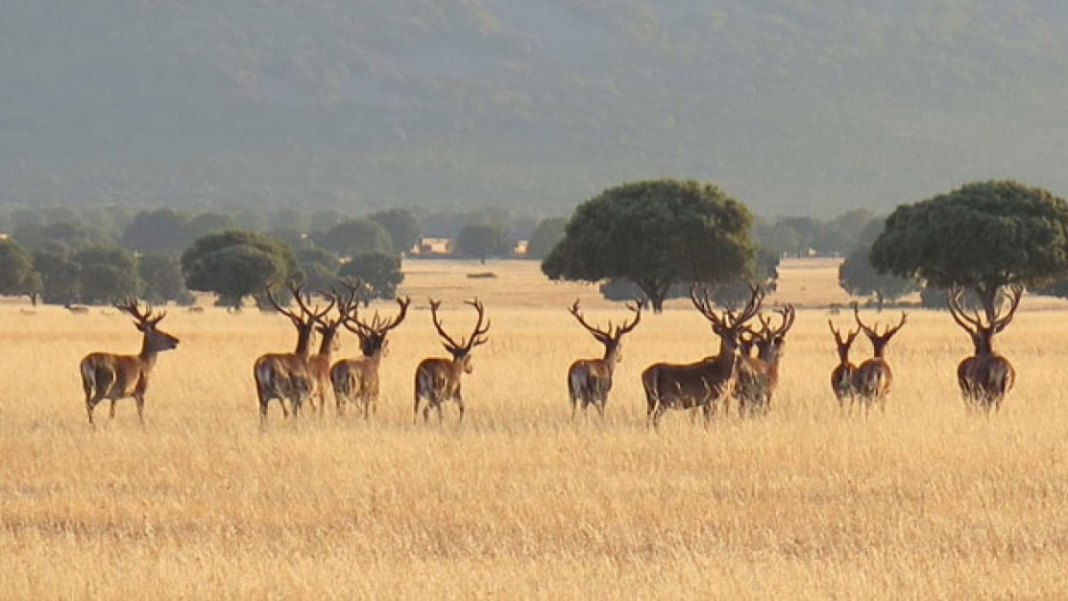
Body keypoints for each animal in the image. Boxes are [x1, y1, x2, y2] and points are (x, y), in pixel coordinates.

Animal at [254, 283, 333, 424]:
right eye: (313, 331)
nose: (314, 340)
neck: (301, 357)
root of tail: (262, 364)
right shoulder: (298, 395)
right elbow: (297, 413)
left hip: (262, 395)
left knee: (263, 416)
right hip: (280, 392)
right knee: (285, 413)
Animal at [636, 286, 764, 431]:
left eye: (737, 333)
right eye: (724, 334)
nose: (735, 344)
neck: (722, 373)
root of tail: (646, 373)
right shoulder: (710, 398)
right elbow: (708, 422)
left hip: (651, 398)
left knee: (649, 418)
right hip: (665, 398)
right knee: (655, 419)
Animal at [948, 283, 1021, 412]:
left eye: (976, 338)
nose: (976, 350)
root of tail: (1001, 367)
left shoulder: (967, 389)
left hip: (981, 389)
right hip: (1003, 390)